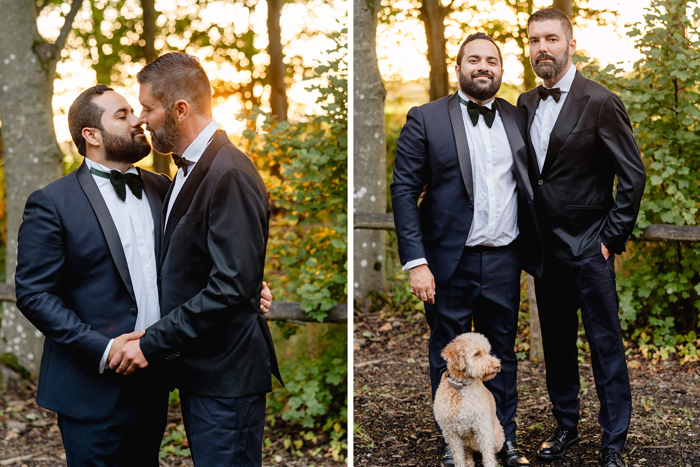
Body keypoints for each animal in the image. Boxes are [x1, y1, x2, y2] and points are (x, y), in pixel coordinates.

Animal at [432, 332, 504, 467]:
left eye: (488, 352)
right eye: (477, 354)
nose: (498, 366)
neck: (461, 386)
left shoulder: (483, 427)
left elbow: (488, 455)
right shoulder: (451, 433)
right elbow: (458, 456)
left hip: (498, 436)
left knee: (493, 451)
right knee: (468, 451)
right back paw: (470, 462)